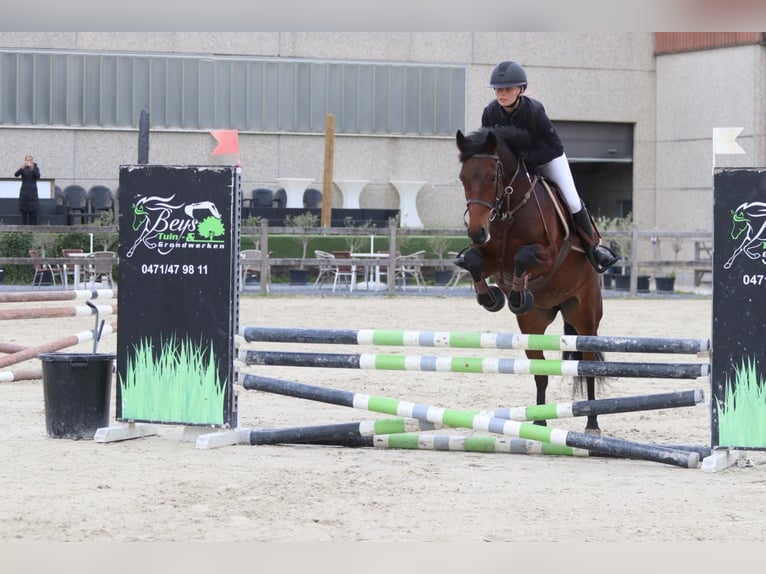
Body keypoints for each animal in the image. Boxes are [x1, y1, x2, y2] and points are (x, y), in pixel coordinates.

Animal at [455, 126, 605, 433]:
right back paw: (539, 421)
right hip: (533, 323)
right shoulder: (491, 258)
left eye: (492, 177)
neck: (509, 207)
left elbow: (524, 257)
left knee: (588, 367)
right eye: (463, 178)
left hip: (586, 315)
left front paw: (516, 295)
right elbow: (475, 260)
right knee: (540, 371)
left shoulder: (547, 256)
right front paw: (492, 298)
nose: (476, 231)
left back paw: (592, 423)